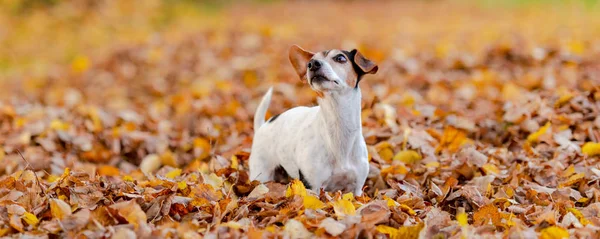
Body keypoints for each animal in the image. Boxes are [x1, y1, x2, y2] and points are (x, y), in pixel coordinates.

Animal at [247, 44, 378, 196]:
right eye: (310, 62)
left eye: (340, 58)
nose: (312, 64)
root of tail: (263, 125)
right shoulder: (313, 187)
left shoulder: (356, 189)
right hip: (261, 174)